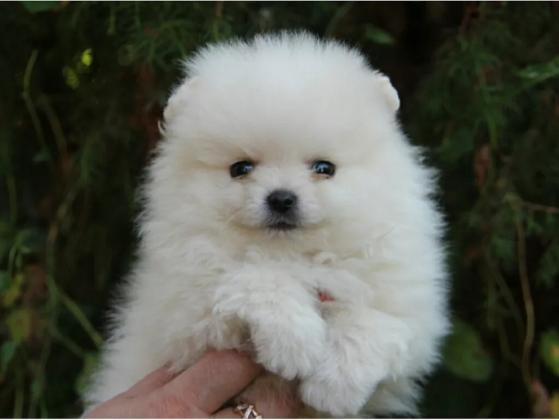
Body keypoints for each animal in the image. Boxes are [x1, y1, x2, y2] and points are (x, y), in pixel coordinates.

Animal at [85, 32, 449, 417]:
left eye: (324, 168)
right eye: (240, 168)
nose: (282, 198)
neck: (292, 254)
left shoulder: (413, 311)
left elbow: (374, 320)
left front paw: (336, 384)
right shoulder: (186, 319)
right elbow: (257, 278)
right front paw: (294, 343)